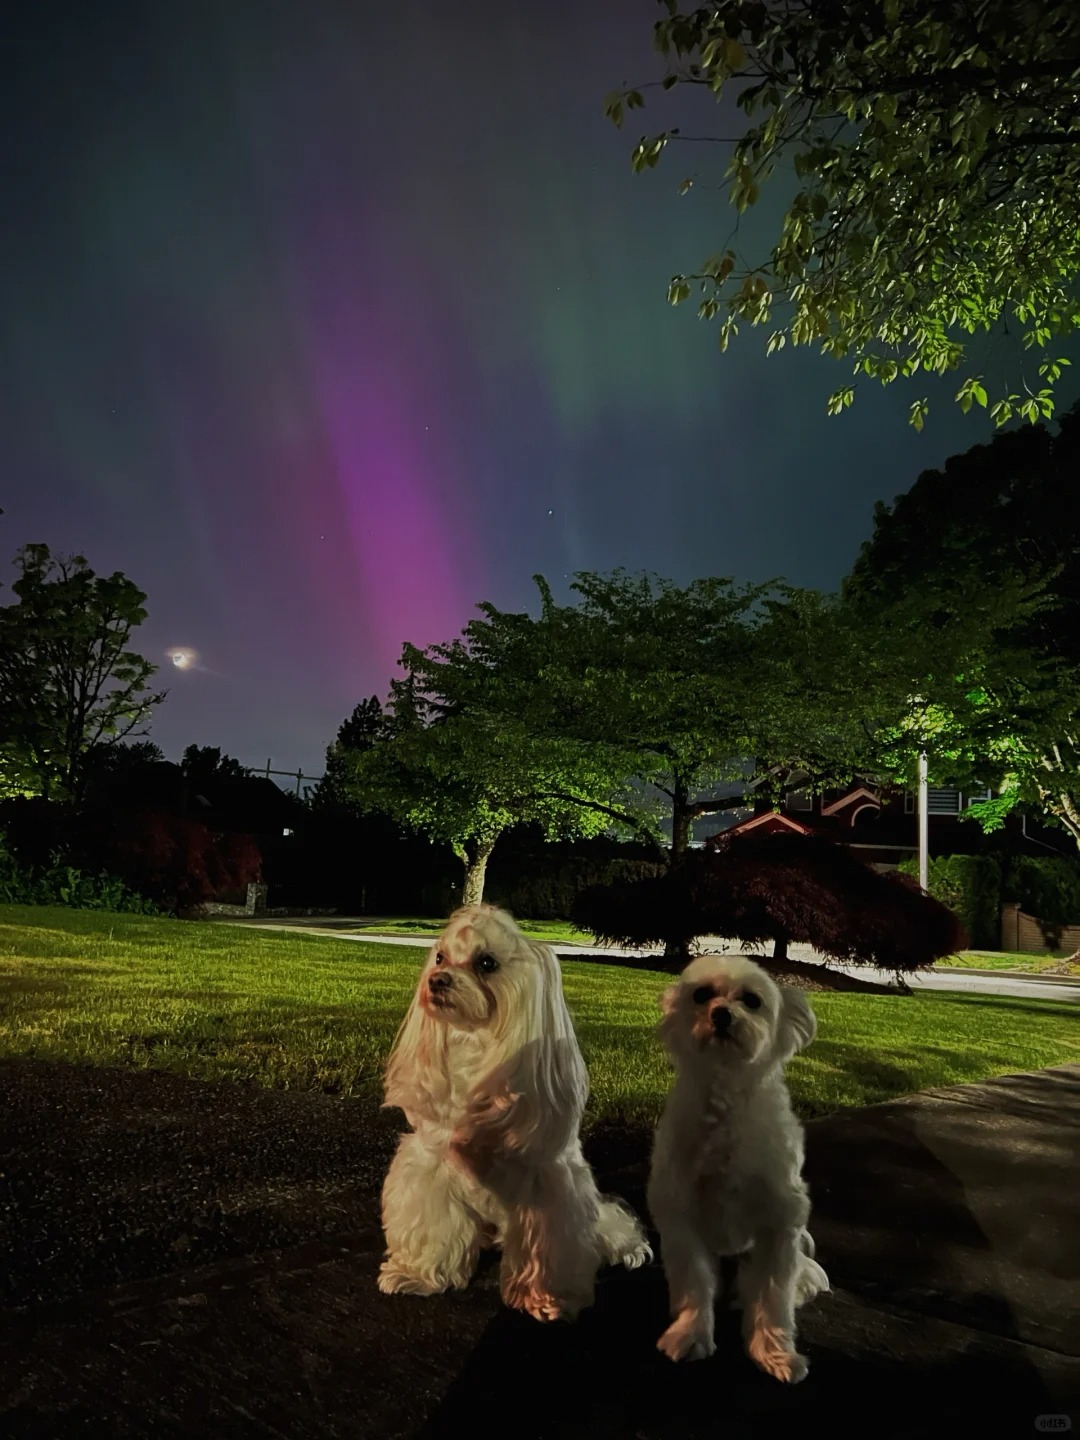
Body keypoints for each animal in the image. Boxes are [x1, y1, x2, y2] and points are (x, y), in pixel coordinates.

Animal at [380, 904, 650, 1319]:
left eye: (486, 962)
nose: (437, 980)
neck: (475, 1044)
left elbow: (550, 1246)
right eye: (440, 957)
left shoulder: (545, 1183)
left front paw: (547, 1298)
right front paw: (417, 1277)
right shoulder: (431, 1163)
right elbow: (432, 1221)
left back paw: (627, 1249)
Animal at [648, 956, 835, 1382]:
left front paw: (775, 1353)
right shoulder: (681, 1217)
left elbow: (772, 1297)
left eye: (752, 1000)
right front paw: (690, 1335)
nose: (721, 1013)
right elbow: (694, 1284)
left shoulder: (779, 1224)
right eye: (701, 994)